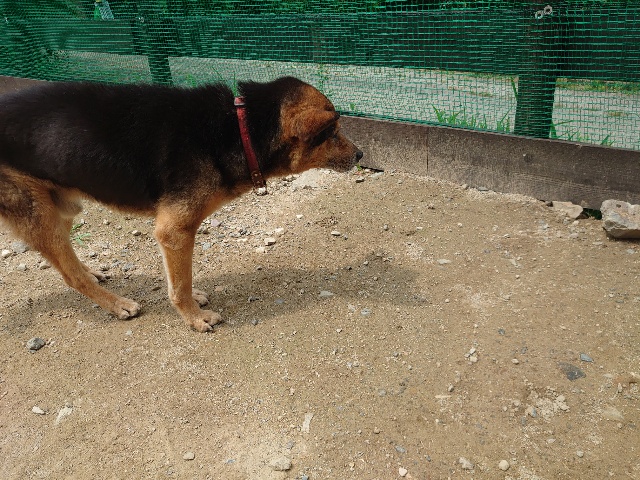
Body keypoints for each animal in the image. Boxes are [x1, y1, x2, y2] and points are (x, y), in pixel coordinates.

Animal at [0, 76, 362, 332]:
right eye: (332, 132)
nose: (360, 154)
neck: (238, 127)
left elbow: (180, 278)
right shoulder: (175, 230)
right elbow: (181, 284)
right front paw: (194, 317)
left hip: (60, 206)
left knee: (68, 264)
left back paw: (92, 271)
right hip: (38, 214)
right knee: (70, 276)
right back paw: (117, 305)